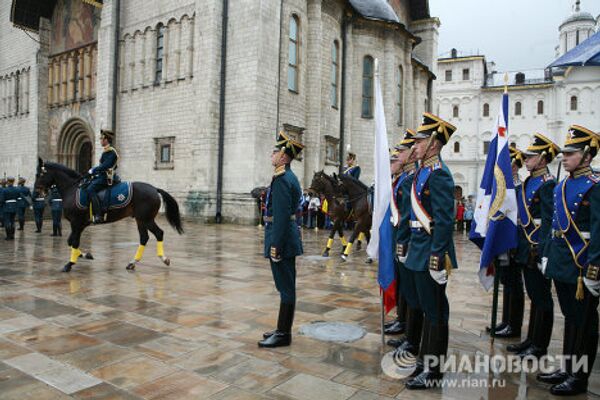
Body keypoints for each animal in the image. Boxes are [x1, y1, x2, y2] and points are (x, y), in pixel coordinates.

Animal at [32, 158, 182, 274]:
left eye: (39, 174)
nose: (35, 193)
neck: (72, 189)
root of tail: (154, 189)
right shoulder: (80, 225)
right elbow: (71, 242)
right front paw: (85, 255)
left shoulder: (76, 223)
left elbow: (74, 242)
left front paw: (69, 264)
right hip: (140, 220)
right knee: (144, 238)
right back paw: (132, 263)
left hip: (146, 219)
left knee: (159, 233)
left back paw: (163, 259)